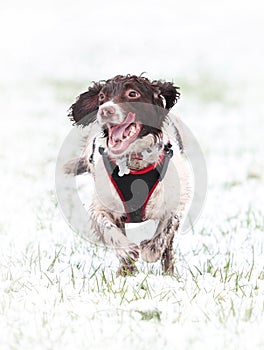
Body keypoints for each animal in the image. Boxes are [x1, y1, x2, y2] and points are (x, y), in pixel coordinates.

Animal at [65, 74, 191, 276]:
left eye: (133, 93)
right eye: (102, 96)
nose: (105, 110)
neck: (134, 165)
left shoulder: (175, 201)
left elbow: (164, 233)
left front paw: (149, 250)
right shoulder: (102, 206)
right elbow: (108, 227)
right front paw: (126, 252)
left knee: (168, 248)